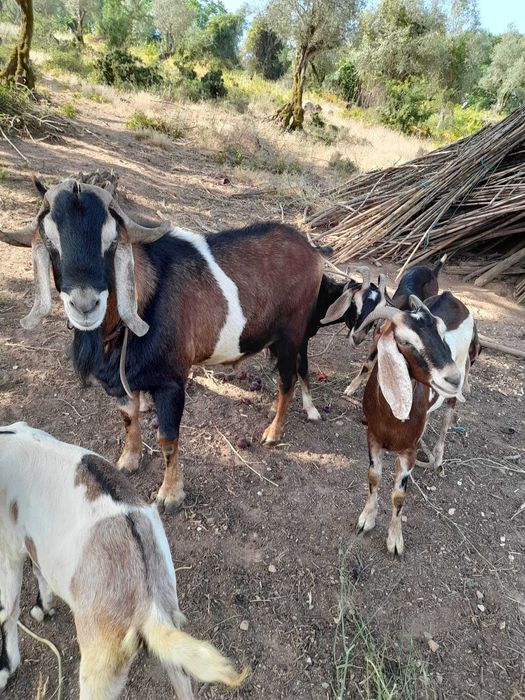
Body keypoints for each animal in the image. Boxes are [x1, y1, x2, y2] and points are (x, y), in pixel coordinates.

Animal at [0, 178, 333, 511]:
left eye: (111, 243)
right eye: (51, 242)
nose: (85, 305)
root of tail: (313, 250)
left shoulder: (171, 382)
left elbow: (168, 439)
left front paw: (170, 494)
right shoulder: (120, 381)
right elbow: (129, 418)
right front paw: (128, 460)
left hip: (290, 336)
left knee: (287, 380)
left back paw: (273, 432)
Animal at [0, 422, 247, 699]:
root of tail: (147, 602)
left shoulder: (8, 551)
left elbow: (7, 610)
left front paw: (6, 669)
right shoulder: (33, 541)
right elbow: (39, 569)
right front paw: (43, 606)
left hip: (100, 663)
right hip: (171, 635)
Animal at [353, 292, 478, 554]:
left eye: (441, 332)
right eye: (406, 342)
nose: (453, 378)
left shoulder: (407, 451)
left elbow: (399, 495)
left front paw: (395, 540)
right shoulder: (373, 437)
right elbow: (373, 477)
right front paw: (366, 519)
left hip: (453, 394)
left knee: (447, 419)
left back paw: (437, 460)